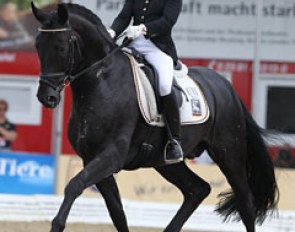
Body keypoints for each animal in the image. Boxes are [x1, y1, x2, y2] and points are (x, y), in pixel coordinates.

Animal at [31, 3, 280, 232]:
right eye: (38, 46)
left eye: (61, 47)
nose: (47, 97)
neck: (101, 82)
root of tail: (227, 87)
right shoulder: (90, 158)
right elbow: (117, 212)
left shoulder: (111, 155)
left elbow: (74, 185)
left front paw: (57, 224)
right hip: (165, 161)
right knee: (197, 189)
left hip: (229, 154)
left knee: (245, 203)